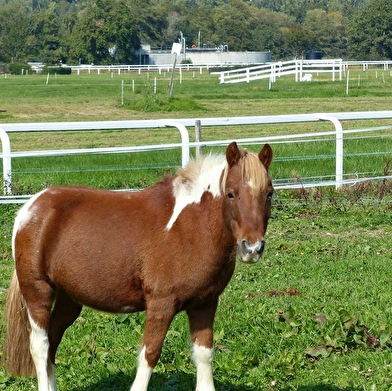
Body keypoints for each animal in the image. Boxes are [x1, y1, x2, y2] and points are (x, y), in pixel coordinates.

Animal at [2, 142, 272, 391]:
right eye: (230, 193)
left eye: (269, 193)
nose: (252, 248)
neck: (190, 227)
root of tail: (30, 208)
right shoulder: (161, 304)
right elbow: (149, 354)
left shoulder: (205, 304)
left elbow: (204, 354)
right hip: (37, 293)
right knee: (40, 346)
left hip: (70, 299)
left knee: (53, 341)